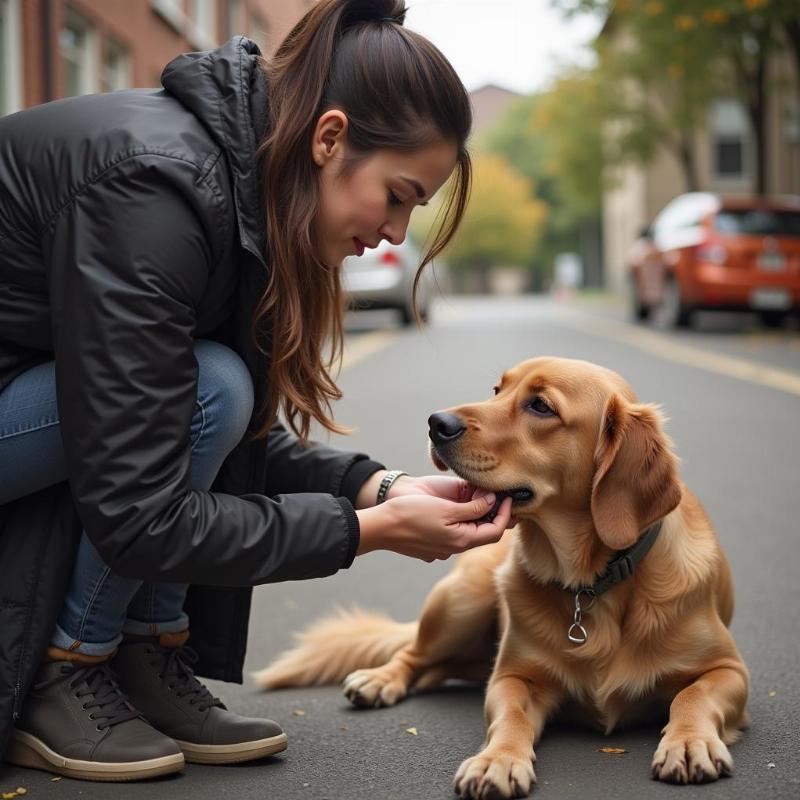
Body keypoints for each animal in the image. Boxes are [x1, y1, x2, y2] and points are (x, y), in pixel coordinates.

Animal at [256, 360, 752, 796]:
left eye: (540, 406)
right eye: (498, 390)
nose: (436, 422)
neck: (593, 585)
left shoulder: (730, 672)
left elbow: (691, 697)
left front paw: (688, 742)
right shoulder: (512, 678)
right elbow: (510, 717)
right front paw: (497, 760)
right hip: (461, 601)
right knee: (412, 653)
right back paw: (381, 680)